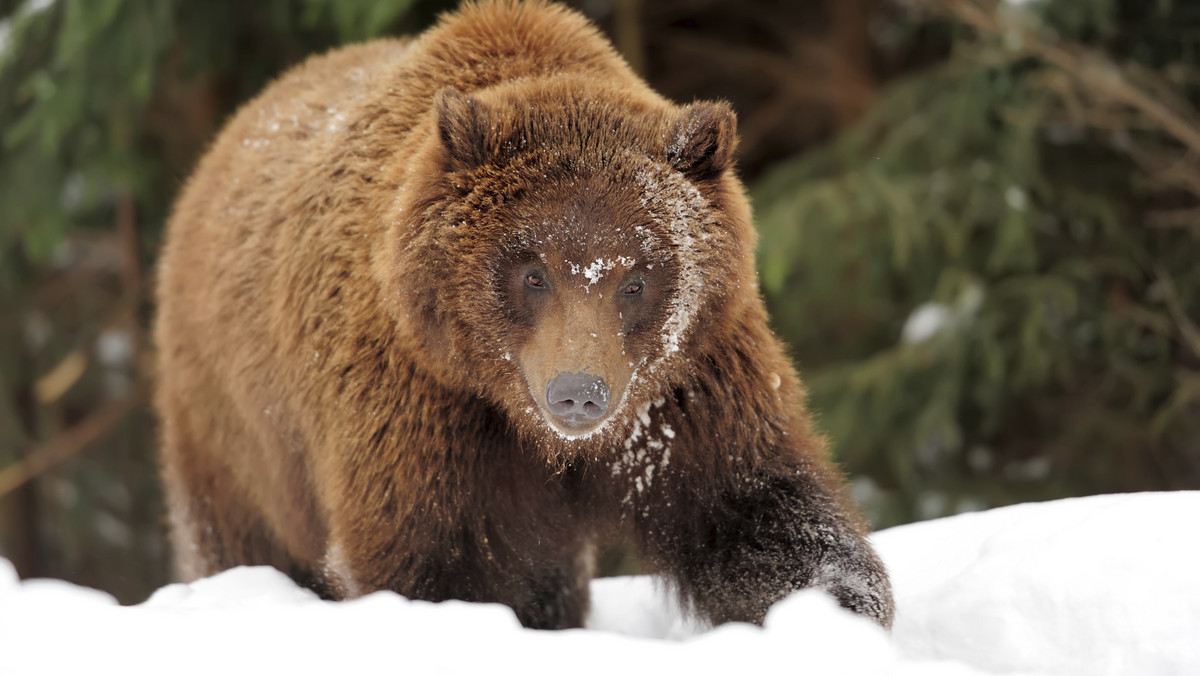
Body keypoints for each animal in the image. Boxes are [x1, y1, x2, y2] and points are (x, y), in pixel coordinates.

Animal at [152, 0, 892, 629]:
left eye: (635, 278)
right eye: (533, 272)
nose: (578, 393)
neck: (537, 434)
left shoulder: (686, 393)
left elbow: (759, 515)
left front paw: (834, 615)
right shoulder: (422, 408)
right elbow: (429, 560)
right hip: (236, 434)